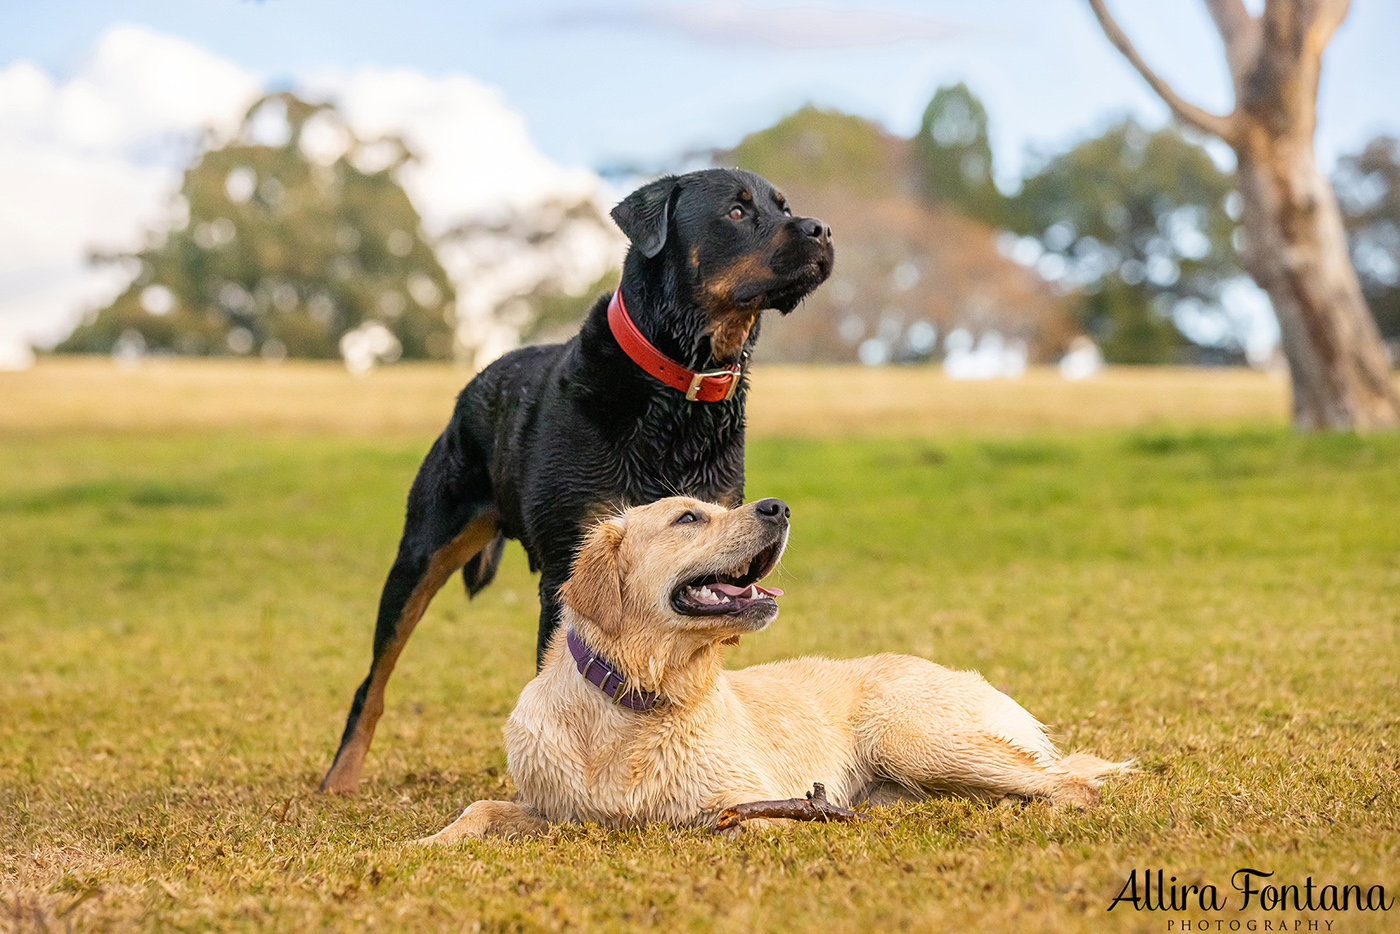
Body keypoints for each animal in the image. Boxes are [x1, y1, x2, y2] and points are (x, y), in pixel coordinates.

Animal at [322, 168, 828, 789]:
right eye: (737, 211)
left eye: (784, 205)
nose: (821, 229)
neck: (676, 393)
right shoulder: (569, 562)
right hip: (421, 552)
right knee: (373, 679)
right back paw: (340, 779)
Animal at [420, 495, 1131, 840]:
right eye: (687, 516)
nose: (778, 507)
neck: (635, 701)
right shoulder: (555, 809)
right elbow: (480, 811)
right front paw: (427, 845)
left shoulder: (744, 799)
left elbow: (736, 823)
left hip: (916, 740)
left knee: (1070, 784)